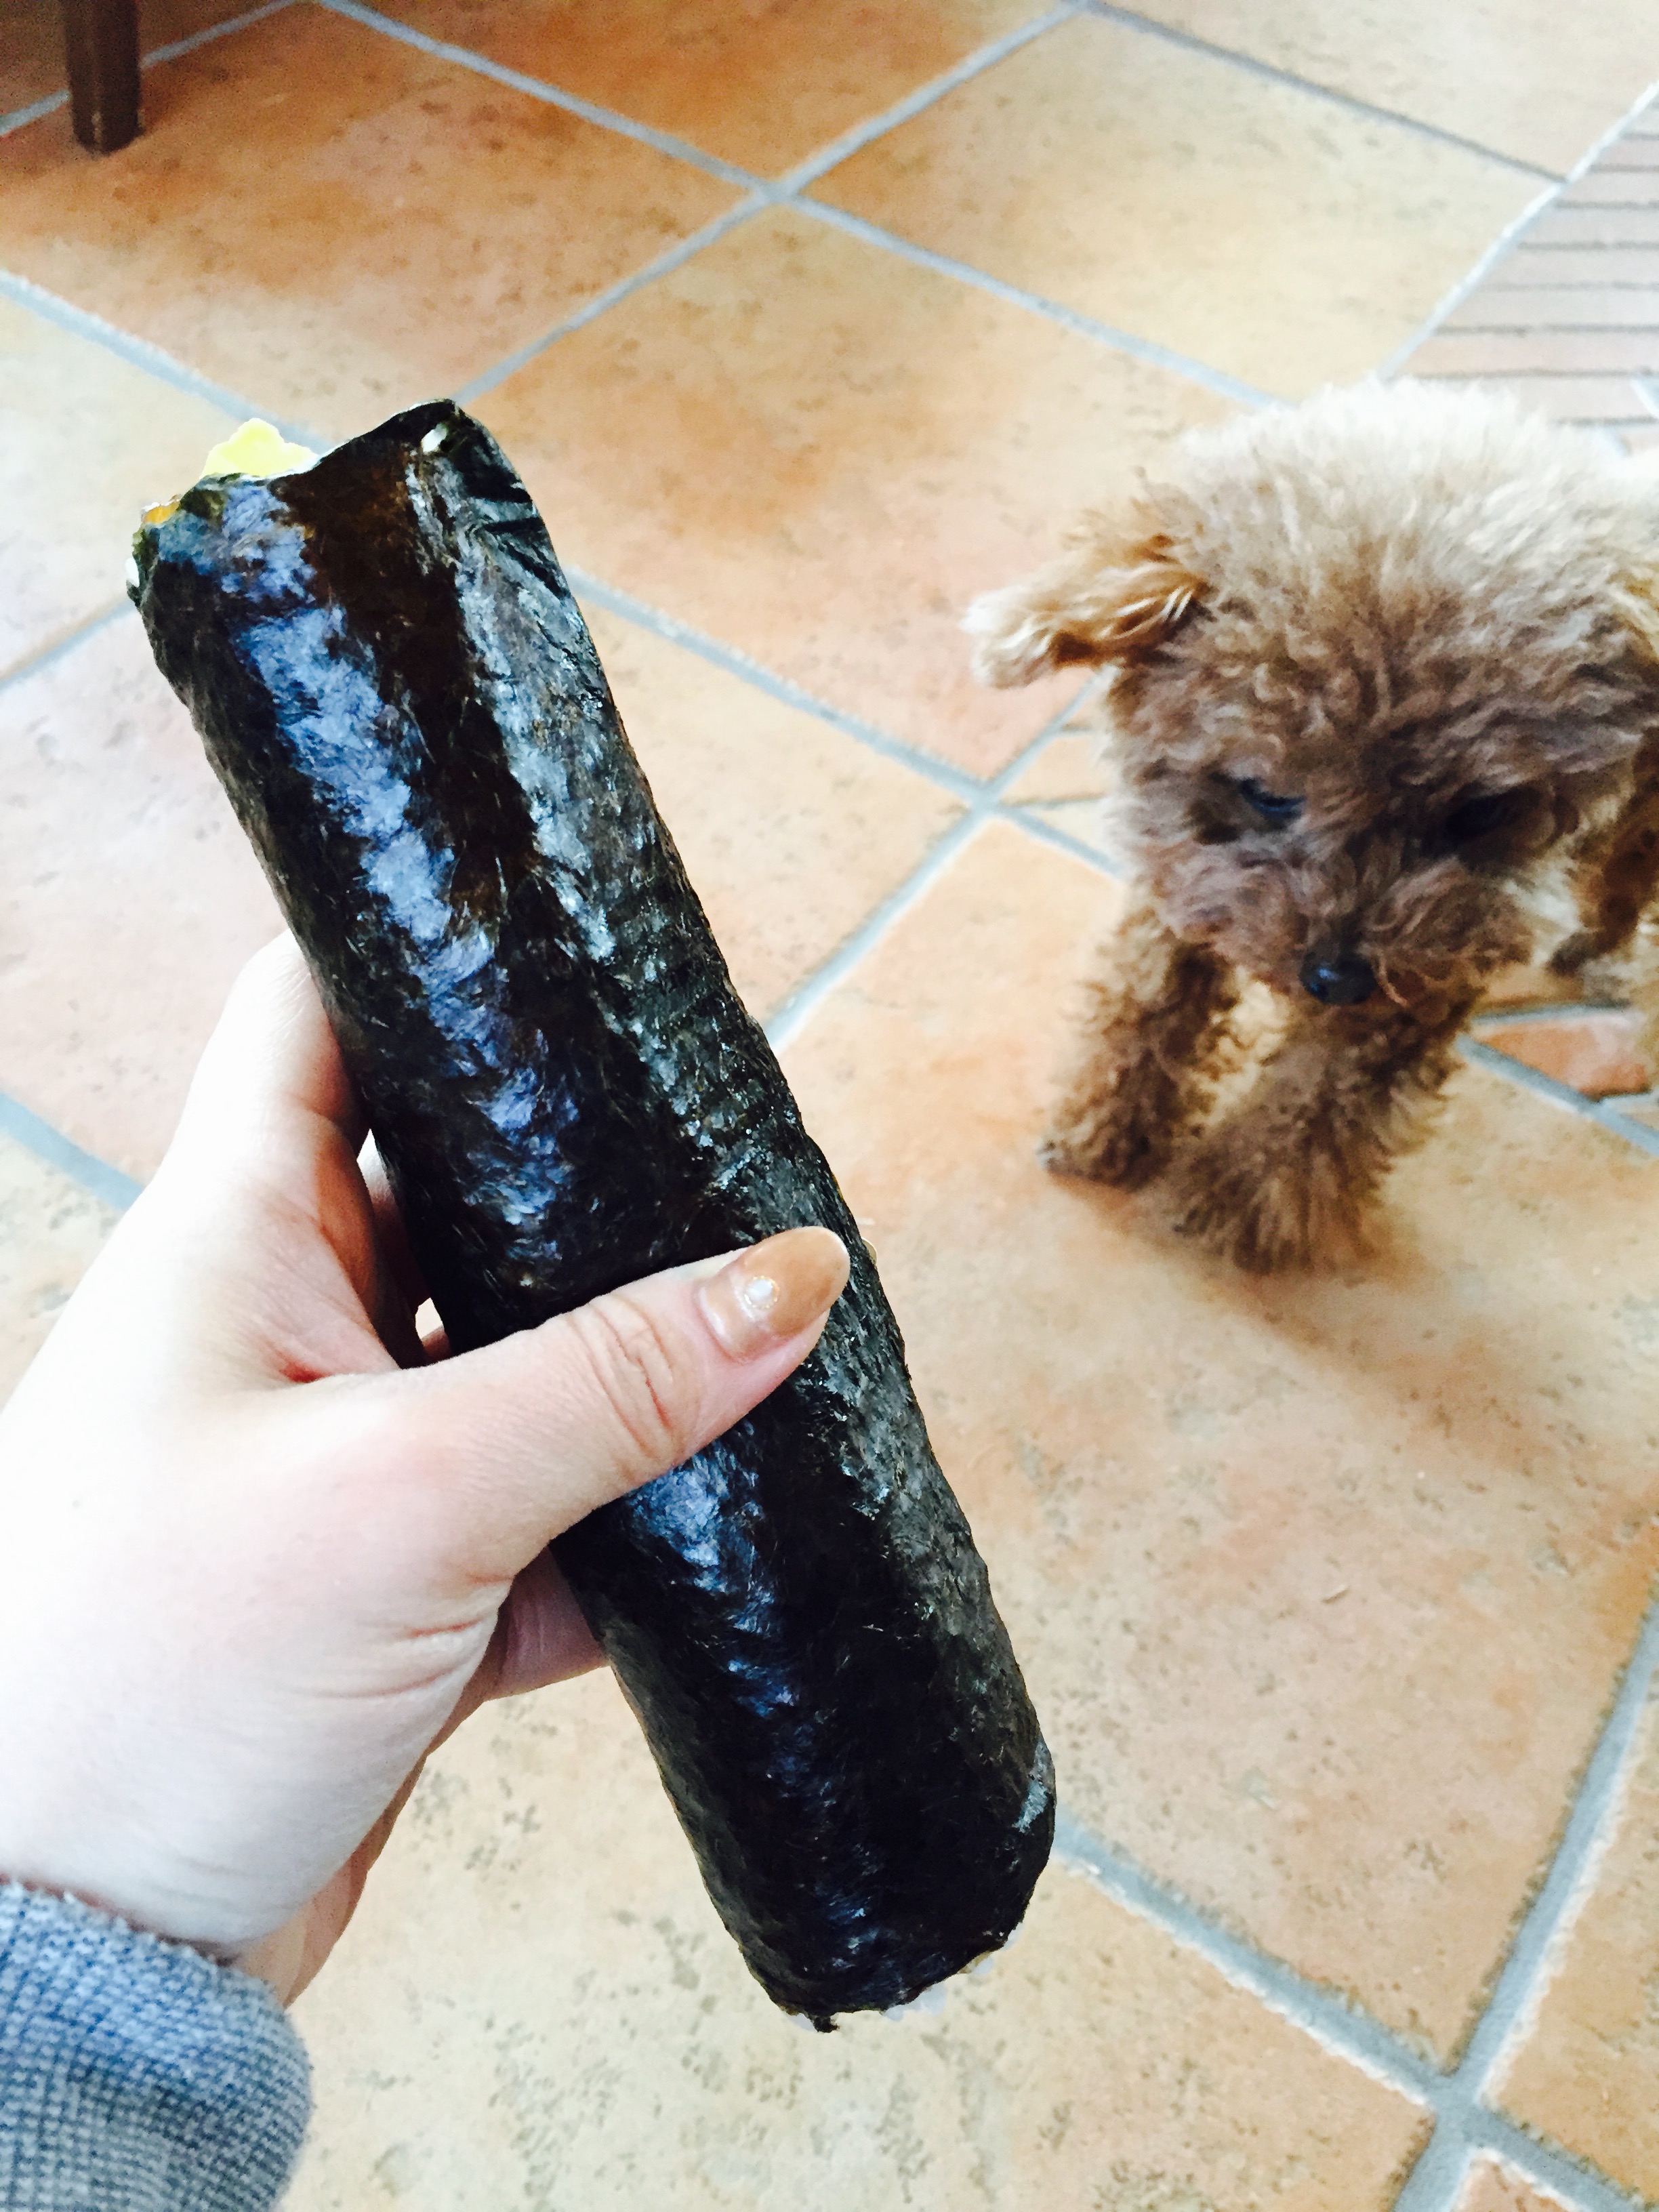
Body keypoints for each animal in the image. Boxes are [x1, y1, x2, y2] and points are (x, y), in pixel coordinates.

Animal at [966, 380, 1659, 1270]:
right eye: (1267, 793)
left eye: (1478, 813)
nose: (1336, 978)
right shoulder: (1183, 872)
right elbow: (1146, 998)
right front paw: (1104, 1127)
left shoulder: (1431, 967)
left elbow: (1321, 1093)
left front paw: (1239, 1196)